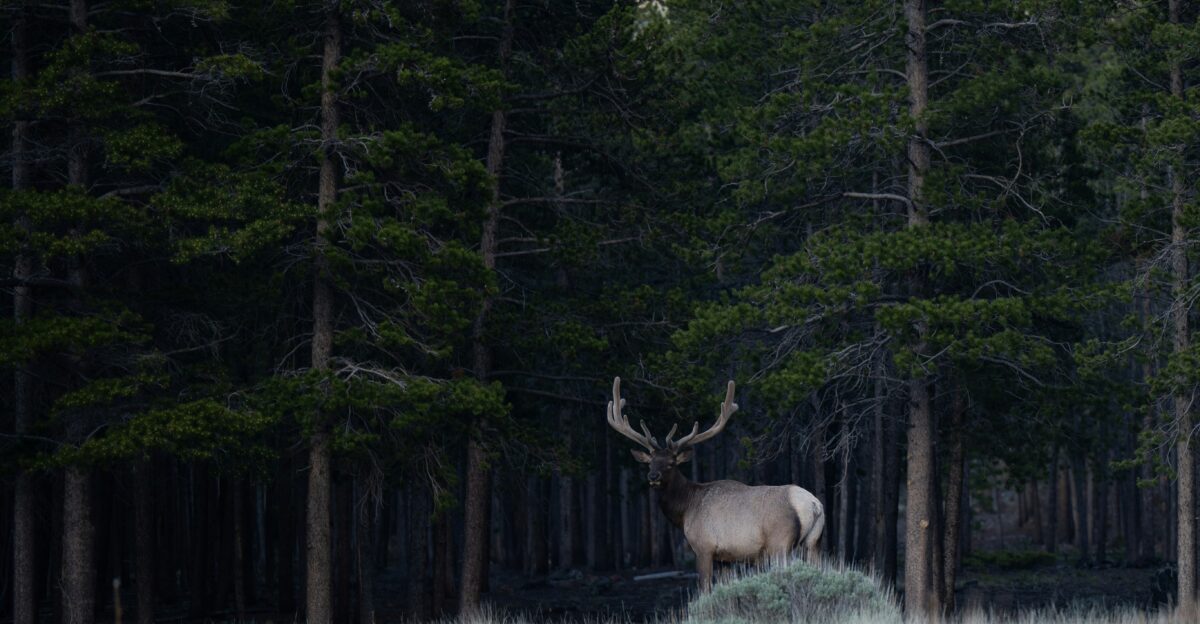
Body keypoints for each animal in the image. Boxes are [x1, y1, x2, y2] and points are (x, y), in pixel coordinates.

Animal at [605, 377, 824, 592]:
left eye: (671, 463)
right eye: (650, 462)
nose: (653, 475)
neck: (685, 510)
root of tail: (813, 505)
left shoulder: (703, 547)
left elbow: (704, 589)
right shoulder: (725, 558)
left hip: (780, 544)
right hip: (813, 542)